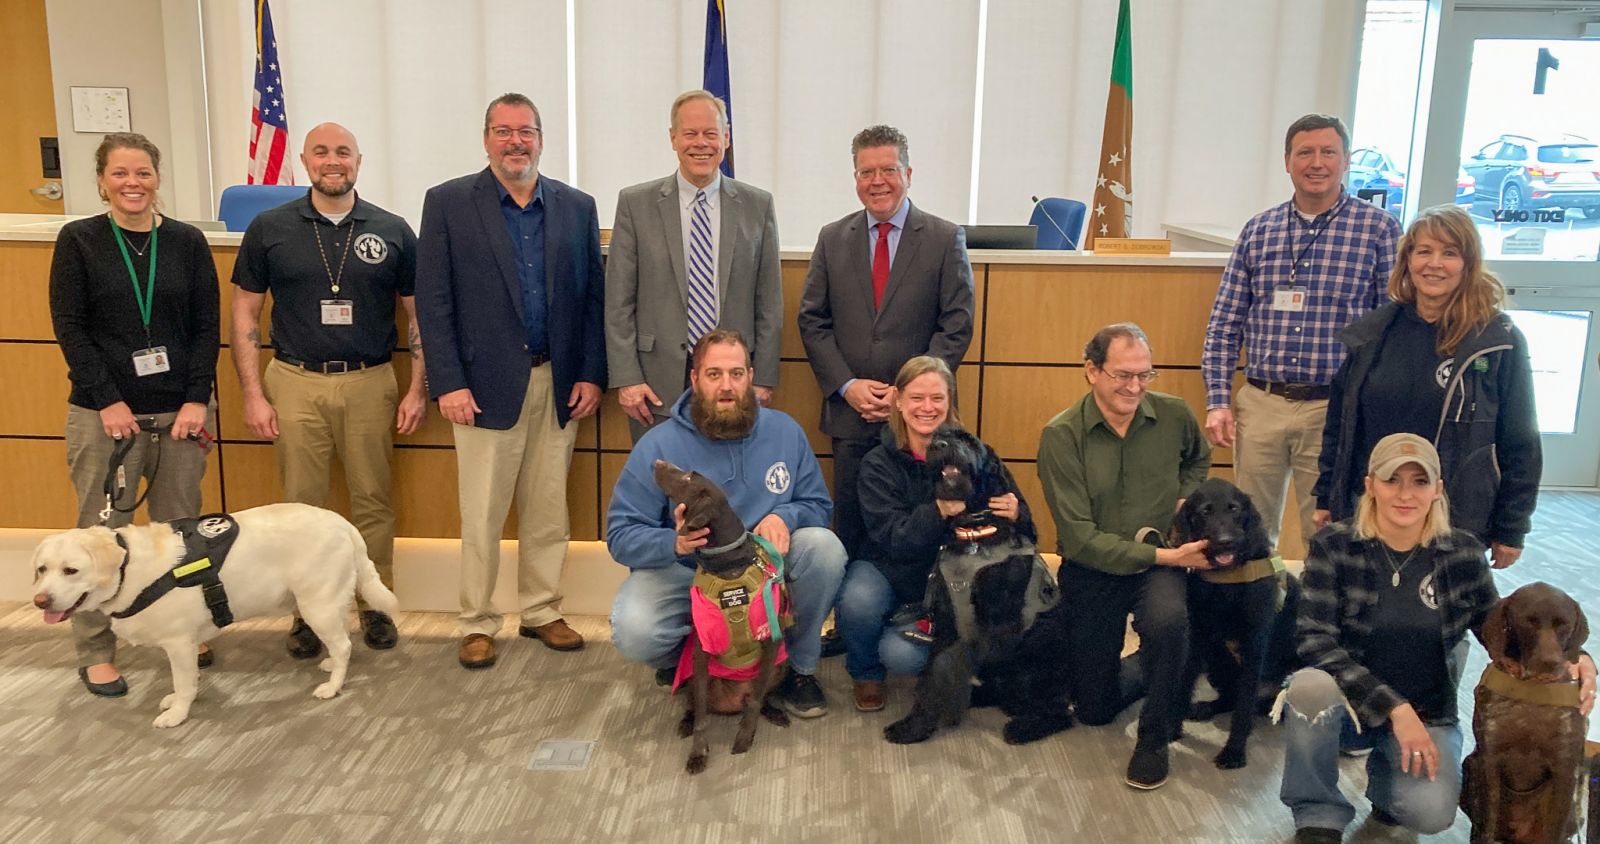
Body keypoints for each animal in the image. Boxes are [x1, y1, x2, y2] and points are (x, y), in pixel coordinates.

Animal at [29, 505, 395, 728]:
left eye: (71, 570)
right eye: (42, 569)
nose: (40, 600)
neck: (129, 568)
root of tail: (342, 522)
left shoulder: (178, 643)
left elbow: (184, 681)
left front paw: (178, 713)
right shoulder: (186, 644)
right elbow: (188, 679)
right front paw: (177, 700)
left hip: (315, 603)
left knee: (344, 644)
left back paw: (332, 687)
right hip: (323, 602)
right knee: (342, 640)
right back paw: (332, 665)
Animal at [883, 428, 1068, 744]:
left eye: (967, 440)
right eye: (938, 437)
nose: (937, 445)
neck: (975, 533)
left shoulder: (989, 621)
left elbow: (943, 668)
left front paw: (921, 725)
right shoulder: (948, 619)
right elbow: (932, 672)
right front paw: (914, 725)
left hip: (1034, 662)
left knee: (1058, 711)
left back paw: (1025, 726)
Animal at [1177, 479, 1299, 767]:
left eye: (1234, 509)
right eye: (1205, 511)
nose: (1226, 542)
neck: (1228, 580)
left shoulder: (1254, 642)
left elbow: (1244, 706)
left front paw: (1233, 751)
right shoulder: (1198, 635)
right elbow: (1185, 679)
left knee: (1252, 704)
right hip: (1216, 660)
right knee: (1231, 697)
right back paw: (1206, 707)